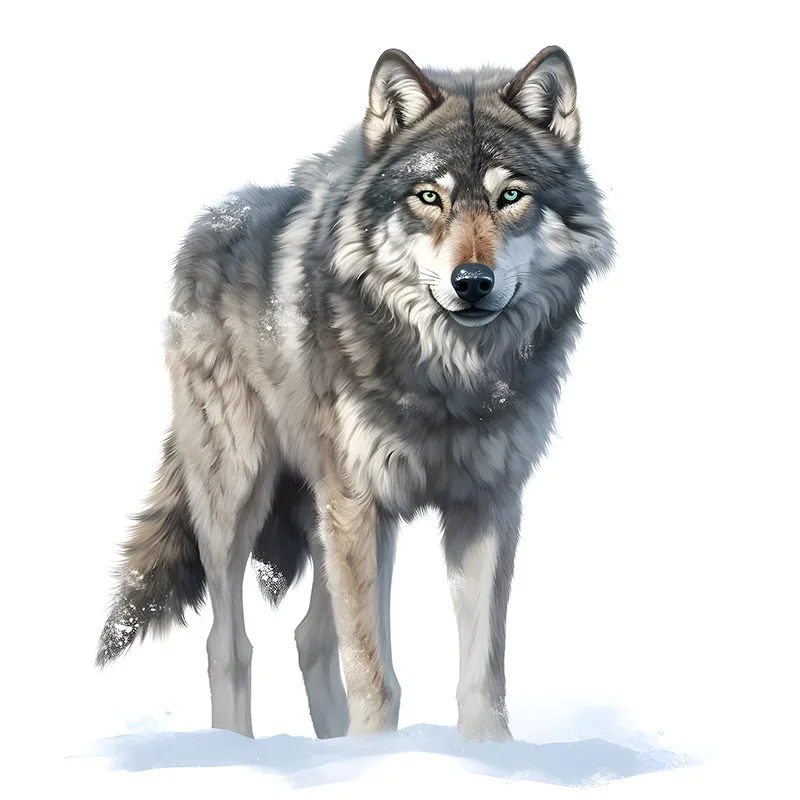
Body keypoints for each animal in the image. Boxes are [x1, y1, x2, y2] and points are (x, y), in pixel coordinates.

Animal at [96, 45, 614, 743]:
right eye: (429, 196)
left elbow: (483, 673)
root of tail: (216, 218)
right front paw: (377, 753)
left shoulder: (486, 503)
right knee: (228, 644)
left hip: (324, 516)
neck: (448, 380)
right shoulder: (361, 502)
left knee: (310, 637)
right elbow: (373, 672)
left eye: (511, 196)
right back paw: (238, 748)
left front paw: (490, 753)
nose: (472, 281)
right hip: (240, 494)